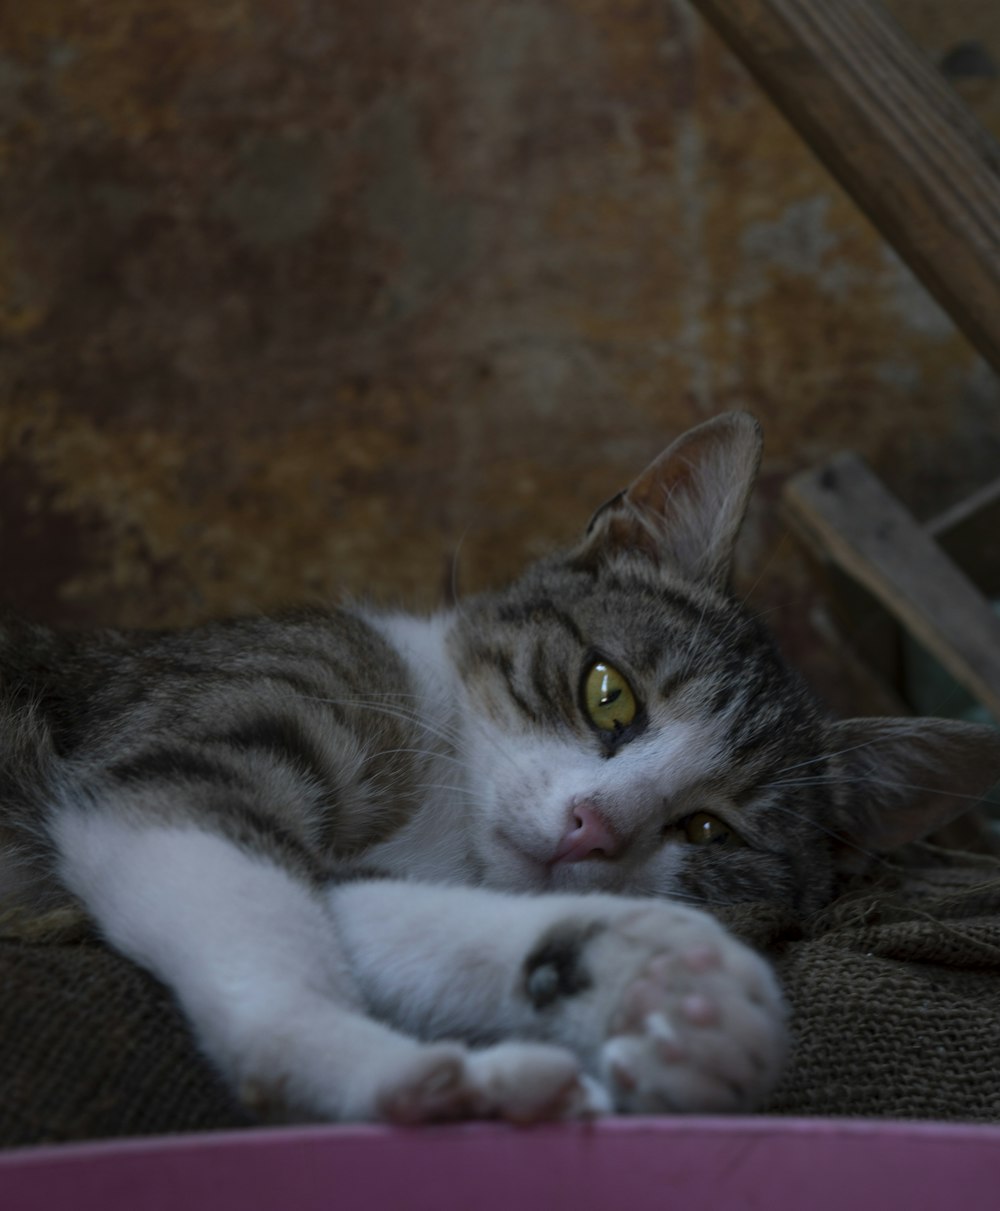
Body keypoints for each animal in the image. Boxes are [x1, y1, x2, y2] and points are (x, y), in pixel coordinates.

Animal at [1, 411, 997, 1118]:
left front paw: (648, 981)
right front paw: (380, 1067)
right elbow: (232, 881)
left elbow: (355, 907)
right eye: (609, 692)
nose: (593, 827)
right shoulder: (187, 746)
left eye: (710, 827)